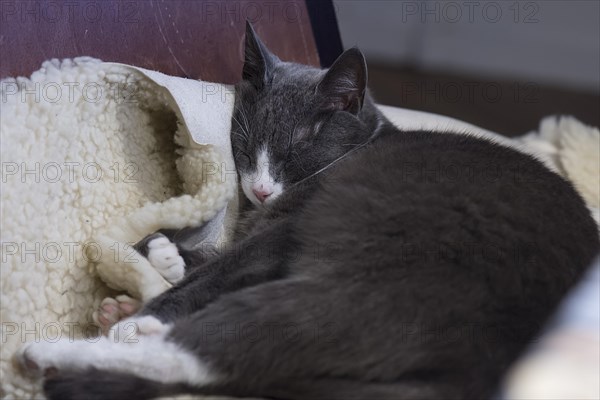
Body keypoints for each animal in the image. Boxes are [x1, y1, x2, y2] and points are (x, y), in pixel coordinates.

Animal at [16, 22, 596, 400]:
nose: (260, 189)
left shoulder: (282, 230)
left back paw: (67, 349)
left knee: (206, 355)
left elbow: (221, 269)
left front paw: (143, 303)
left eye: (296, 147)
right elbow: (201, 259)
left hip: (366, 292)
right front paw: (159, 255)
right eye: (244, 142)